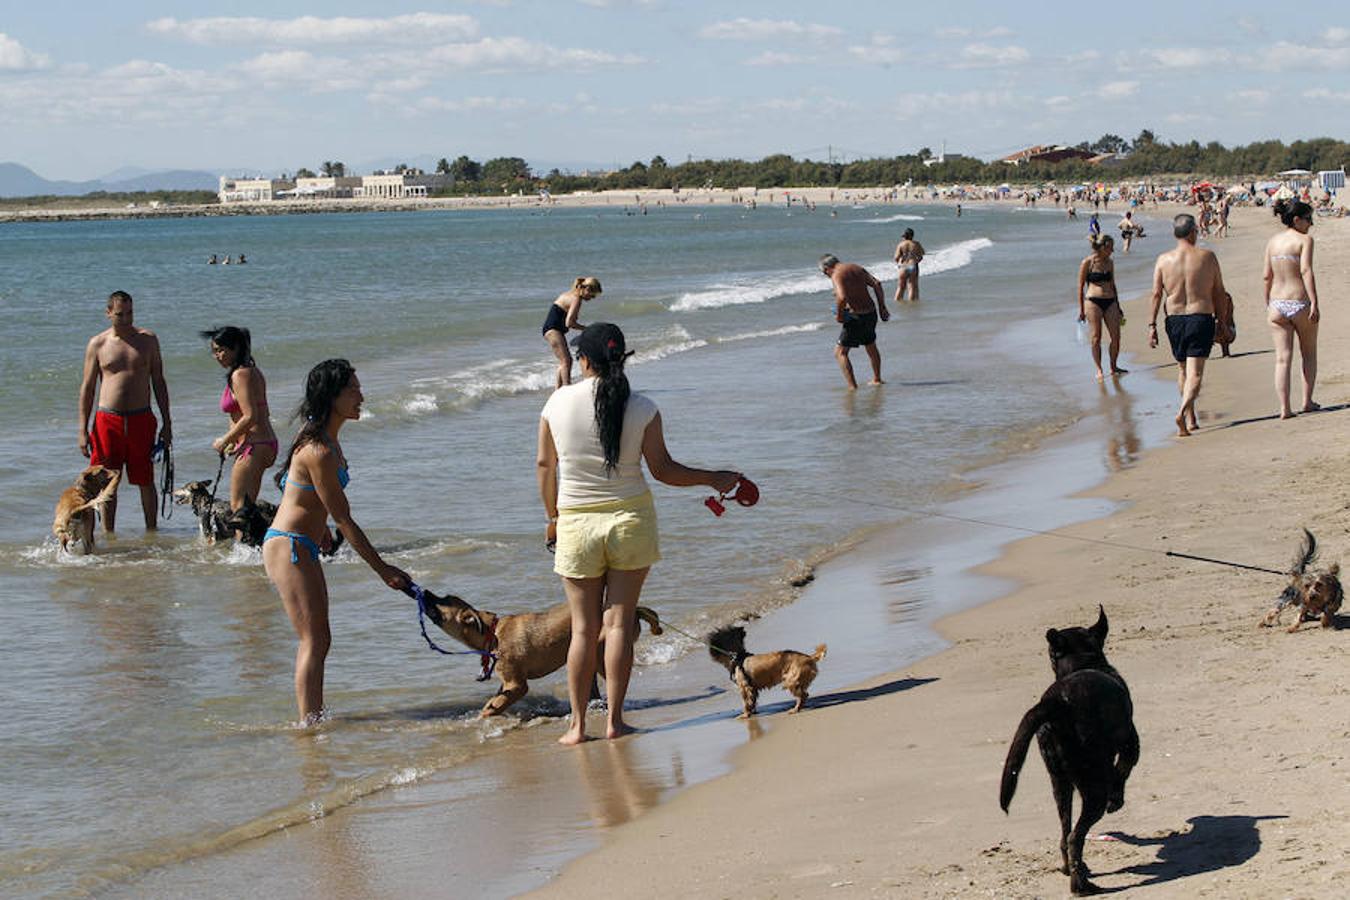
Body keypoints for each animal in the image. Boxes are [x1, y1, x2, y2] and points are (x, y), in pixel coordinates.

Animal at [415, 588, 658, 723]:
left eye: (443, 599)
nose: (423, 592)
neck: (492, 632)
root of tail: (635, 610)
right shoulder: (507, 683)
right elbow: (494, 701)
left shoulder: (517, 685)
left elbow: (492, 707)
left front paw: (481, 720)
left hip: (601, 655)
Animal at [1004, 609, 1139, 895]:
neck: (1081, 663)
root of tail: (1057, 704)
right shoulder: (1130, 744)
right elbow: (1122, 771)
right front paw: (1116, 799)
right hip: (1092, 785)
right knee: (1076, 836)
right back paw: (1081, 885)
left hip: (1059, 783)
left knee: (1065, 832)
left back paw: (1071, 870)